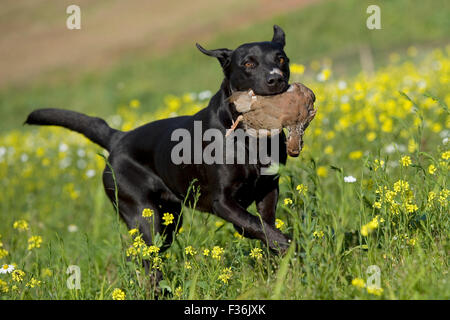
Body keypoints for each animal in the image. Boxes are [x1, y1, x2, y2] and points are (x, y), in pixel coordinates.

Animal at [25, 25, 292, 266]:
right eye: (248, 64)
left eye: (281, 58)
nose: (275, 78)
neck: (251, 136)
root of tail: (118, 138)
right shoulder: (222, 201)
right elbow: (257, 225)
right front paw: (287, 245)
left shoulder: (268, 188)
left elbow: (262, 224)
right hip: (144, 216)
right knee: (145, 259)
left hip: (169, 218)